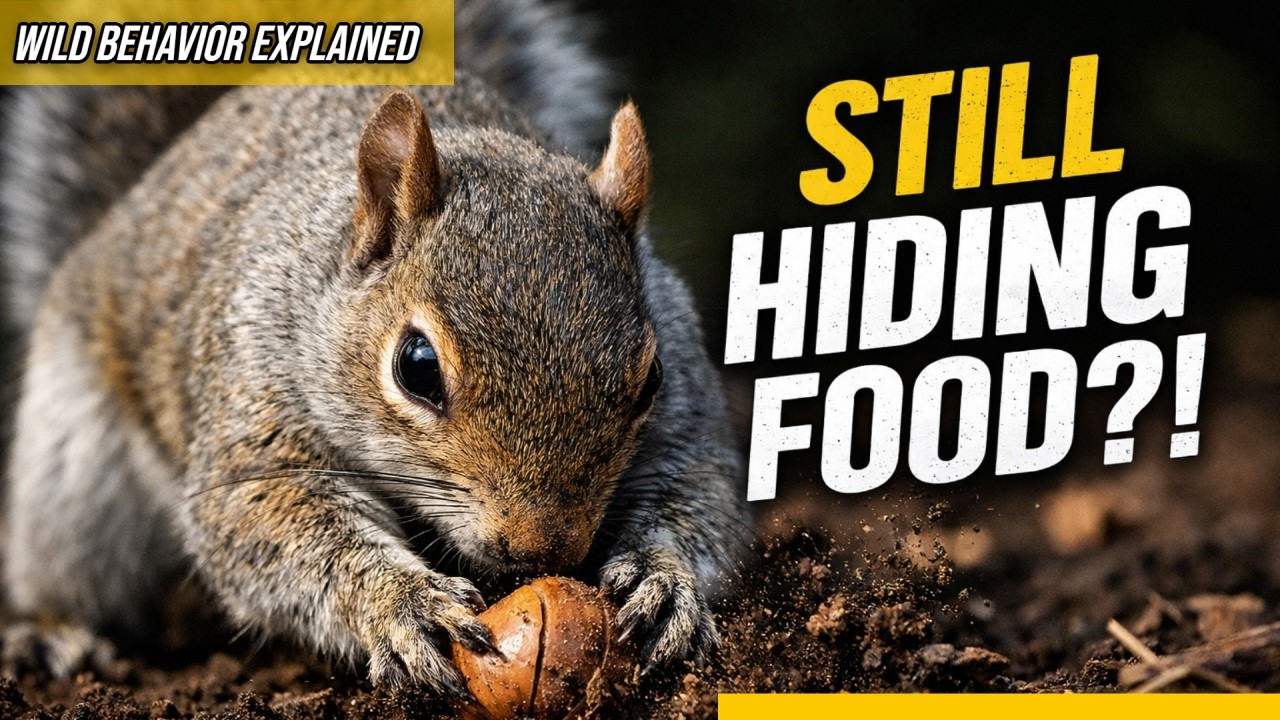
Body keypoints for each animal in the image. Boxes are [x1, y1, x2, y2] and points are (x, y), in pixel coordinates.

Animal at [0, 0, 745, 695]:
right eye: (416, 368)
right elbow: (273, 525)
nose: (544, 548)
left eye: (651, 379)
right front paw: (402, 605)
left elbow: (700, 494)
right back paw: (50, 630)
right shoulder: (256, 394)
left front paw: (663, 581)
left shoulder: (687, 412)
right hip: (75, 470)